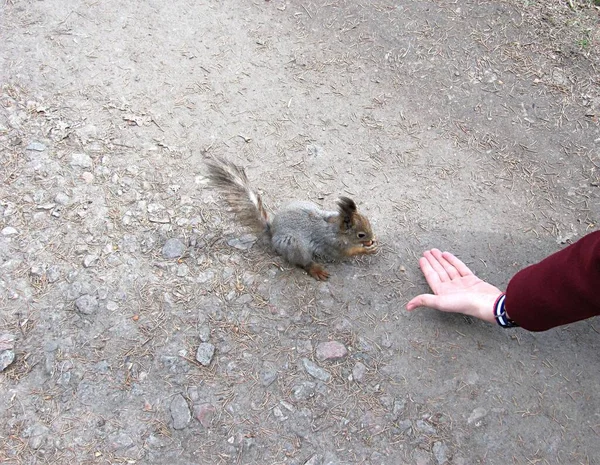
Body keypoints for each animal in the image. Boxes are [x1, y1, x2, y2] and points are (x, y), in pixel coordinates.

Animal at [204, 156, 378, 280]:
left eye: (368, 221)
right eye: (361, 234)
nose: (372, 238)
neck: (335, 228)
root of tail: (273, 233)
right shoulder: (332, 244)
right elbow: (344, 254)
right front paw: (366, 249)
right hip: (295, 246)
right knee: (304, 262)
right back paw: (316, 269)